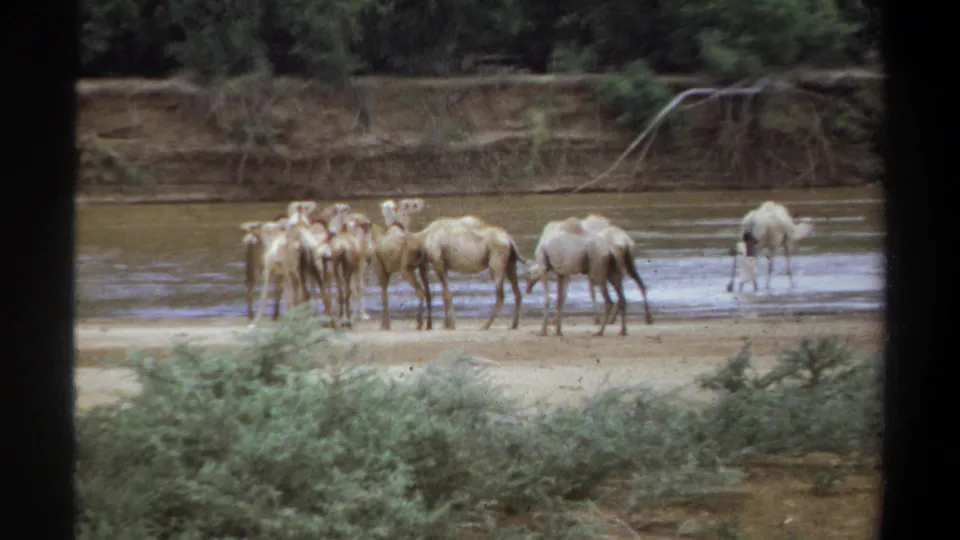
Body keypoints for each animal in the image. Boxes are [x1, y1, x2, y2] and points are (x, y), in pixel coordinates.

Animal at [371, 199, 432, 330]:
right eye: (412, 204)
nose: (421, 201)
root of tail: (420, 248)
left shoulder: (380, 267)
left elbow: (384, 295)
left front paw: (385, 325)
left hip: (406, 269)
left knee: (421, 293)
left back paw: (419, 323)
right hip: (423, 267)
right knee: (428, 293)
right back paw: (428, 324)